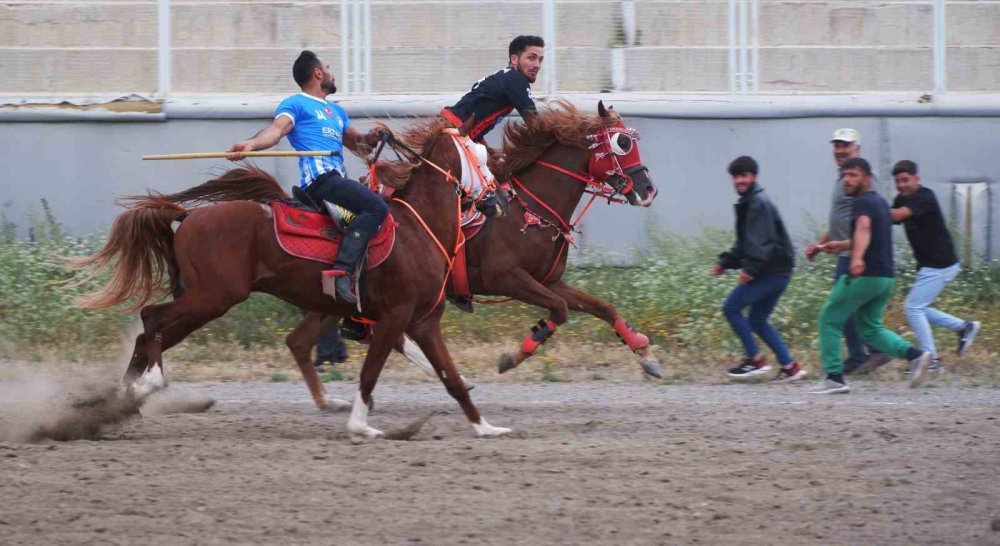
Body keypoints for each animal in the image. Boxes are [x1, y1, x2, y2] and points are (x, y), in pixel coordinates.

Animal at [70, 117, 508, 436]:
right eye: (482, 156)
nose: (499, 197)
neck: (418, 228)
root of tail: (189, 216)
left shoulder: (423, 322)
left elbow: (451, 377)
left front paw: (487, 427)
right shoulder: (394, 317)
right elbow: (370, 374)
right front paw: (360, 426)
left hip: (202, 300)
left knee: (150, 333)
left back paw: (125, 398)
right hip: (212, 297)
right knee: (152, 320)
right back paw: (147, 384)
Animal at [292, 100, 664, 406]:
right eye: (622, 143)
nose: (648, 190)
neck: (529, 210)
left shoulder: (549, 281)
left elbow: (601, 306)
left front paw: (645, 352)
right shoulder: (507, 279)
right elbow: (559, 310)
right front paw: (516, 353)